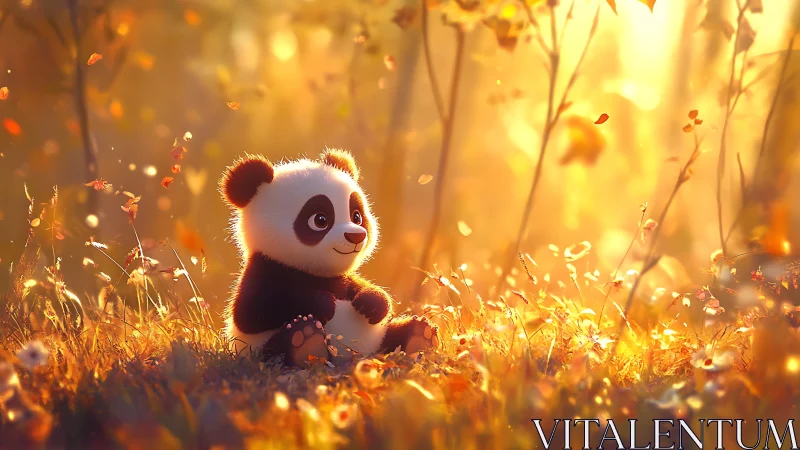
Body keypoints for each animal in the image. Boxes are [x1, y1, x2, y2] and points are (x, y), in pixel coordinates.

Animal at [220, 148, 440, 366]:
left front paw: (372, 302)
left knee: (394, 336)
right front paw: (323, 303)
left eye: (357, 216)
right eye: (320, 220)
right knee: (278, 348)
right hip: (259, 351)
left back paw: (421, 335)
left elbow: (360, 287)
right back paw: (305, 341)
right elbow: (251, 311)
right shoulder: (265, 267)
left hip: (379, 341)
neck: (315, 273)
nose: (356, 236)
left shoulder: (342, 279)